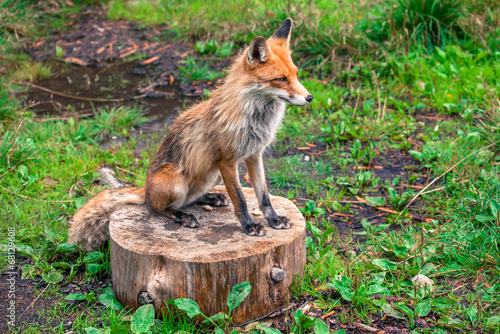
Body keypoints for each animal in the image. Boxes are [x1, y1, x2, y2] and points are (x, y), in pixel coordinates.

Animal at [68, 18, 312, 250]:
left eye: (296, 74)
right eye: (281, 79)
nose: (309, 98)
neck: (255, 118)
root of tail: (145, 188)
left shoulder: (254, 155)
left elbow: (263, 195)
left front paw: (274, 219)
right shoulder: (227, 160)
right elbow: (240, 199)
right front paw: (249, 225)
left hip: (211, 175)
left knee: (188, 198)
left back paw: (210, 197)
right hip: (177, 181)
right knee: (157, 207)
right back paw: (182, 216)